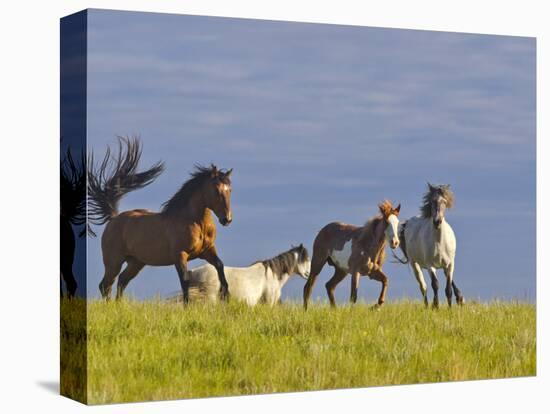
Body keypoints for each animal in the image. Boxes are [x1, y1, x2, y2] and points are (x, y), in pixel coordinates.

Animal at [87, 137, 234, 302]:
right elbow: (185, 281)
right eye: (216, 189)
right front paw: (188, 304)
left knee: (121, 281)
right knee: (106, 285)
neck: (196, 224)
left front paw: (226, 296)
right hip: (114, 261)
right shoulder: (180, 255)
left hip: (136, 262)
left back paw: (119, 304)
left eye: (230, 189)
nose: (227, 219)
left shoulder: (207, 250)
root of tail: (113, 218)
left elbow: (220, 265)